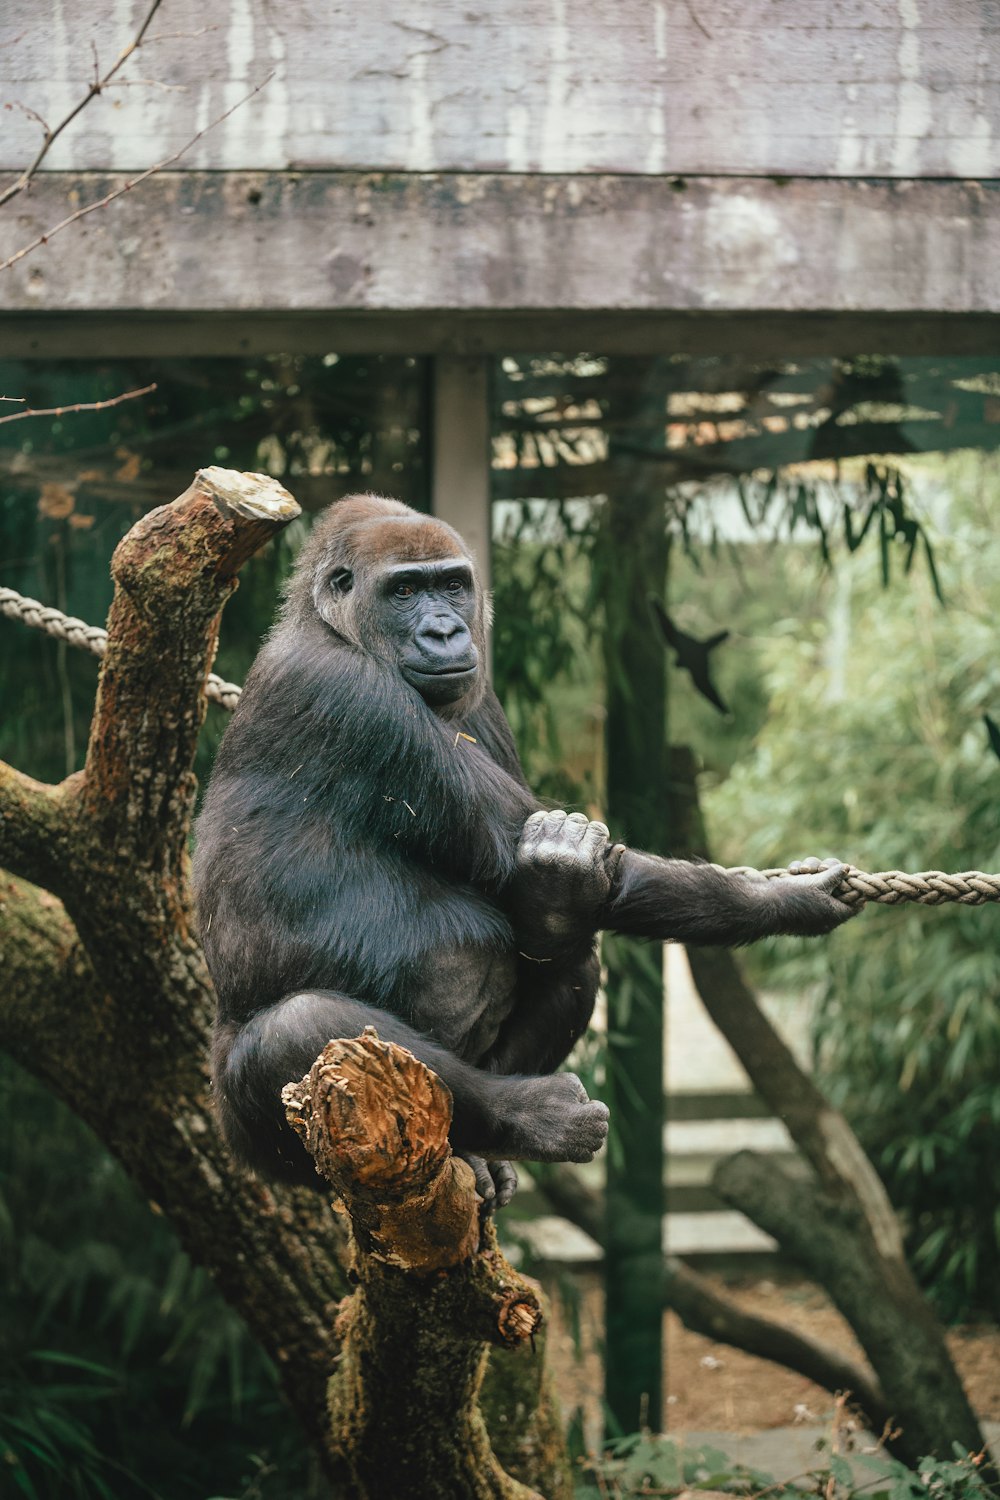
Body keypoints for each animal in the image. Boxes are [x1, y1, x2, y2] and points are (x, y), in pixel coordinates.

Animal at [191, 498, 851, 1212]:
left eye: (452, 584)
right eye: (404, 591)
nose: (447, 632)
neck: (335, 628)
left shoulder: (483, 696)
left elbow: (552, 896)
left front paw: (557, 898)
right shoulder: (348, 694)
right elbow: (560, 859)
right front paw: (783, 899)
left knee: (572, 963)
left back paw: (485, 1147)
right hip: (256, 1132)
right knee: (298, 1027)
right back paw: (534, 1116)